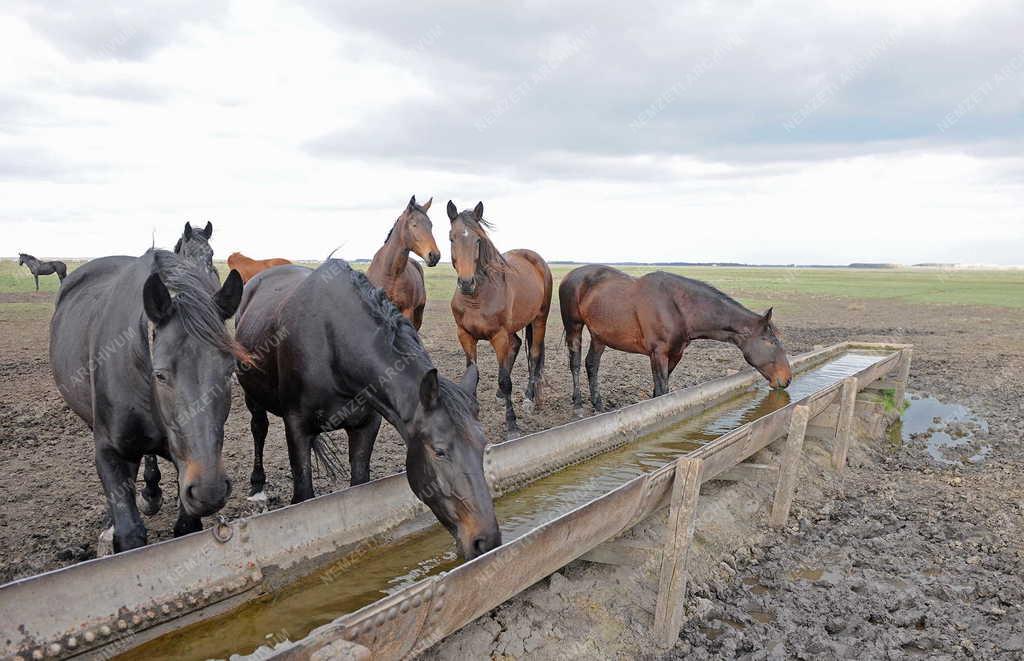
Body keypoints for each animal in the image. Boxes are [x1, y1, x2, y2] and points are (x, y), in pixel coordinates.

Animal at [50, 251, 244, 552]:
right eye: (160, 375)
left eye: (230, 371)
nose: (209, 490)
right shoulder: (108, 452)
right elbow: (130, 534)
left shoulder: (184, 463)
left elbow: (186, 527)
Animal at [233, 261, 503, 560]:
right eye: (439, 451)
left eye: (482, 446)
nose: (485, 541)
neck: (334, 345)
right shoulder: (297, 427)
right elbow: (303, 494)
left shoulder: (366, 425)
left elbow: (359, 484)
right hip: (252, 397)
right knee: (259, 429)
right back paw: (257, 485)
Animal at [444, 201, 548, 439]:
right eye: (452, 238)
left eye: (478, 239)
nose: (466, 283)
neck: (477, 298)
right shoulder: (465, 335)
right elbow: (472, 374)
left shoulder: (499, 336)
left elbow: (505, 379)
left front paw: (512, 425)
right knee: (517, 344)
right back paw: (501, 395)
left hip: (539, 319)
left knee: (534, 355)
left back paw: (529, 398)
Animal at [561, 266, 790, 411]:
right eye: (770, 341)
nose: (787, 379)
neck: (678, 308)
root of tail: (570, 275)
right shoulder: (658, 353)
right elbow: (663, 390)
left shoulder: (675, 354)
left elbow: (660, 390)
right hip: (574, 328)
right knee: (575, 363)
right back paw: (578, 403)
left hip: (599, 336)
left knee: (592, 364)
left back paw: (598, 403)